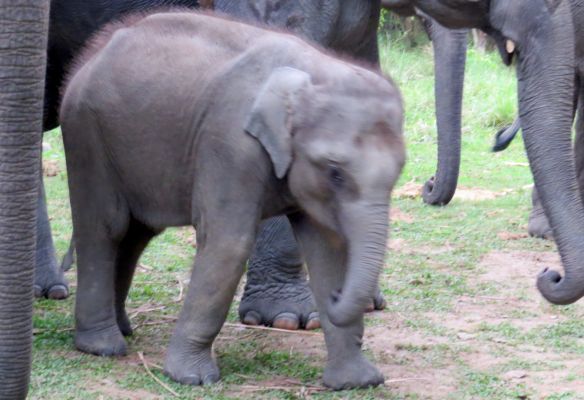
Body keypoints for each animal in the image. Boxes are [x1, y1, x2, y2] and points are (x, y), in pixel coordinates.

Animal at [60, 10, 406, 390]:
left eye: (399, 170)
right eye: (335, 171)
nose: (335, 298)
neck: (313, 71)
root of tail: (93, 52)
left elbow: (328, 250)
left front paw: (357, 382)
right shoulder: (229, 145)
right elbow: (229, 244)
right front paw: (192, 378)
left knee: (136, 234)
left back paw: (122, 330)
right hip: (85, 132)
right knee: (105, 228)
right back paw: (103, 346)